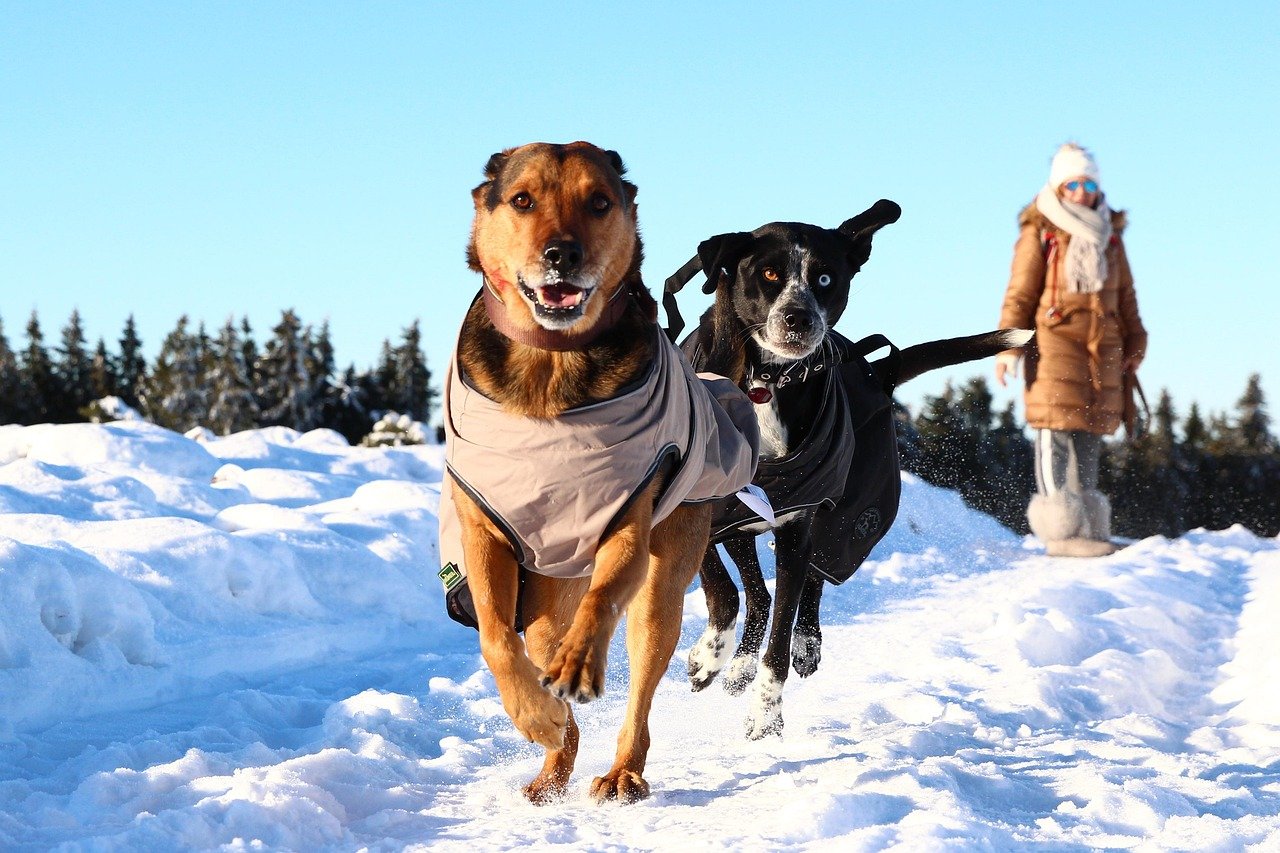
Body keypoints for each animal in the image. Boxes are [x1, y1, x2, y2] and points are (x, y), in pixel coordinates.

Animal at [440, 142, 757, 799]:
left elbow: (607, 596)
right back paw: (552, 760)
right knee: (540, 647)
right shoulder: (483, 526)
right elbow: (494, 635)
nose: (562, 253)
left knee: (642, 670)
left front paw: (581, 664)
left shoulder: (630, 517)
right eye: (522, 199)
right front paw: (536, 714)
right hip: (547, 589)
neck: (552, 363)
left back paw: (621, 769)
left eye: (600, 202)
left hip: (666, 570)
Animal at [665, 201, 1034, 737]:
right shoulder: (691, 507)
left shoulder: (796, 523)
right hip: (746, 521)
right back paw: (736, 665)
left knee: (809, 582)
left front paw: (766, 713)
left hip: (845, 512)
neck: (765, 381)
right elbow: (723, 590)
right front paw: (710, 657)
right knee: (755, 594)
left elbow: (780, 629)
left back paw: (801, 646)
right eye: (769, 274)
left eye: (824, 277)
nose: (798, 318)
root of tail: (878, 371)